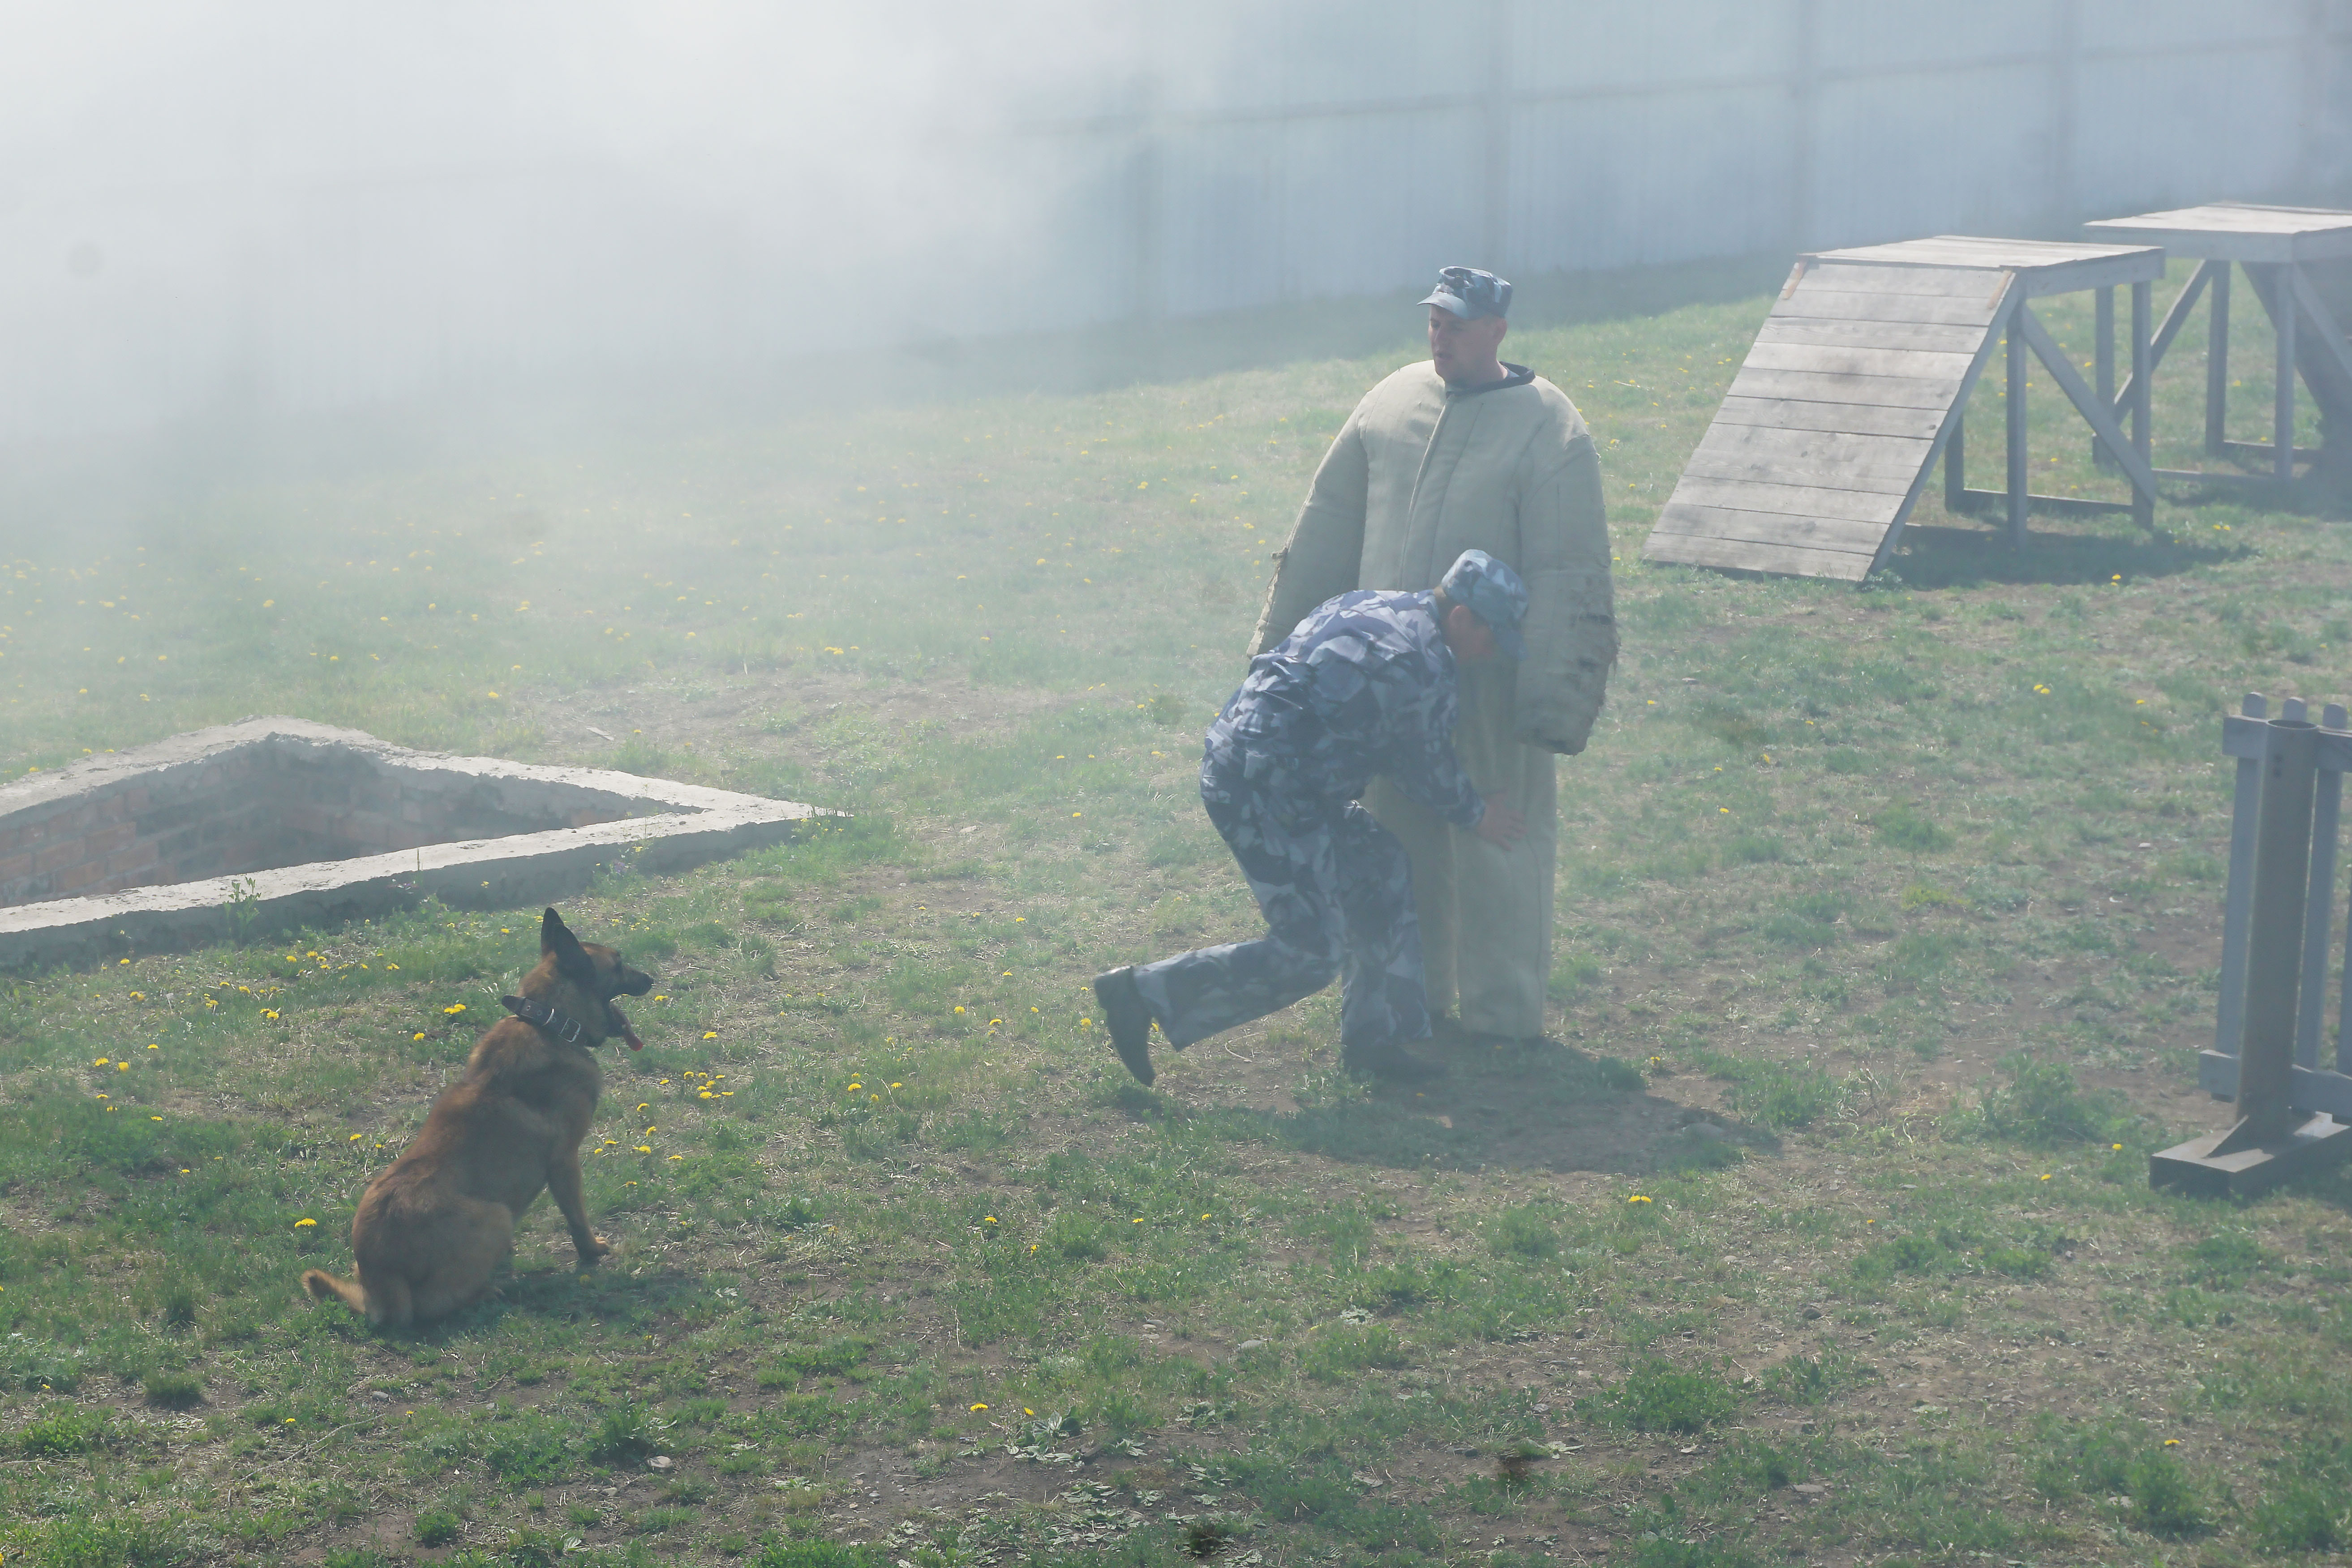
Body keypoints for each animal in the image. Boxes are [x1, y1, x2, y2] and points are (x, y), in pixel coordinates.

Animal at [305, 907, 654, 1326]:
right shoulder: (565, 1163)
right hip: (497, 1216)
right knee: (435, 1304)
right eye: (618, 965)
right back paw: (487, 1292)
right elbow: (577, 1218)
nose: (651, 979)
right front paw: (592, 1250)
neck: (548, 1023)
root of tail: (381, 1286)